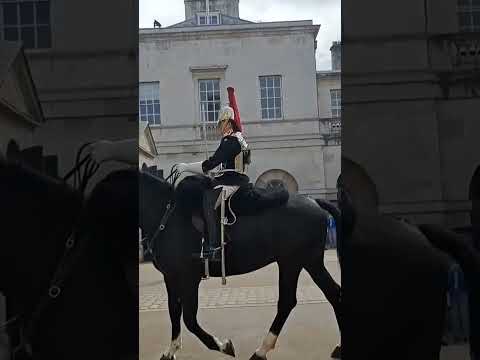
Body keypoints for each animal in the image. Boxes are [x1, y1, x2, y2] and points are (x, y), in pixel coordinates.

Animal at [138, 170, 342, 358]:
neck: (167, 215)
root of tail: (314, 201)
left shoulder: (189, 277)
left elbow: (189, 318)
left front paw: (222, 345)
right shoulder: (171, 276)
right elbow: (174, 311)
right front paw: (171, 350)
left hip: (295, 261)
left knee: (291, 301)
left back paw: (261, 350)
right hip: (304, 262)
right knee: (329, 294)